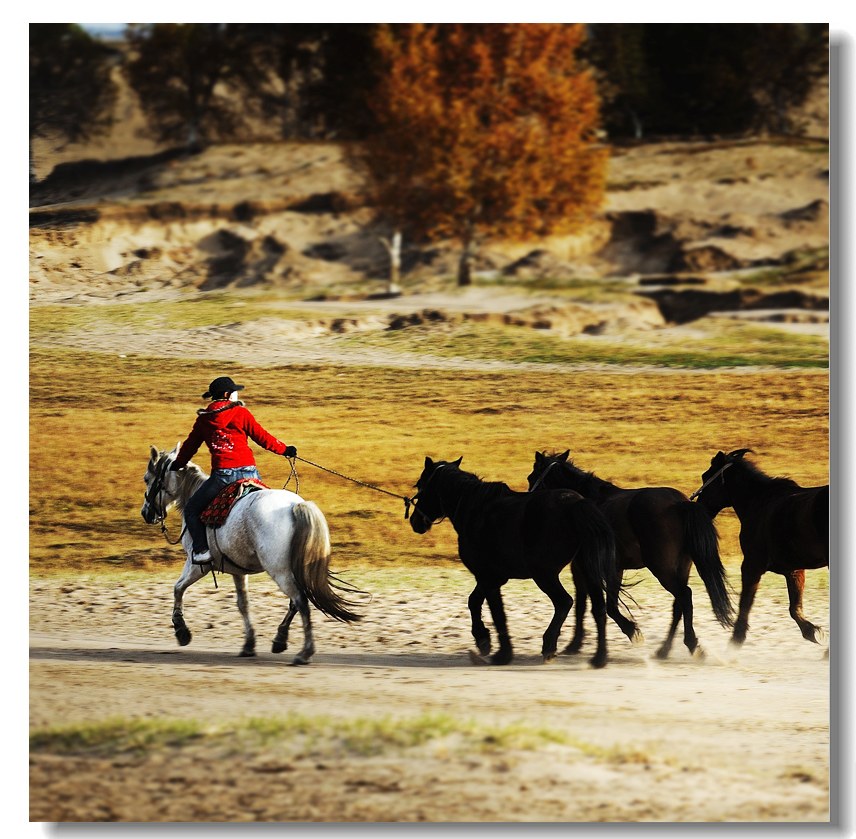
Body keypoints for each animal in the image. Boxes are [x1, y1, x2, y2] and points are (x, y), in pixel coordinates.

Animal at [140, 442, 362, 668]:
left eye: (147, 478)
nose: (146, 513)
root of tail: (295, 506)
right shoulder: (237, 570)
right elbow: (243, 604)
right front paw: (248, 644)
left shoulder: (198, 565)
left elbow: (178, 588)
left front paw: (181, 631)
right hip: (294, 569)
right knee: (296, 602)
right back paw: (281, 640)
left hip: (280, 571)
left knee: (300, 601)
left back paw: (304, 652)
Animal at [406, 460, 620, 668]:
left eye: (420, 485)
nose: (415, 521)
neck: (476, 509)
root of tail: (576, 504)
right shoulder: (493, 577)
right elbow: (474, 601)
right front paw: (483, 641)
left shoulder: (487, 577)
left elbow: (497, 613)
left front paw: (501, 654)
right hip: (586, 569)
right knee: (599, 609)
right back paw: (599, 658)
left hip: (544, 574)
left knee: (564, 602)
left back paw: (549, 646)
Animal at [524, 450, 732, 660]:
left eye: (531, 477)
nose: (528, 503)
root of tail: (680, 503)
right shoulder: (615, 568)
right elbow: (608, 605)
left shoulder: (583, 567)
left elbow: (587, 605)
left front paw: (578, 643)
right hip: (681, 568)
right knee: (678, 605)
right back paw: (664, 650)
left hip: (662, 569)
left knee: (685, 596)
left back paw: (691, 644)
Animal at [696, 450, 828, 648]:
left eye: (705, 476)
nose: (699, 507)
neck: (759, 502)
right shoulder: (794, 570)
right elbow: (794, 607)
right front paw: (812, 631)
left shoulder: (752, 565)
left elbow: (745, 604)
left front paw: (736, 640)